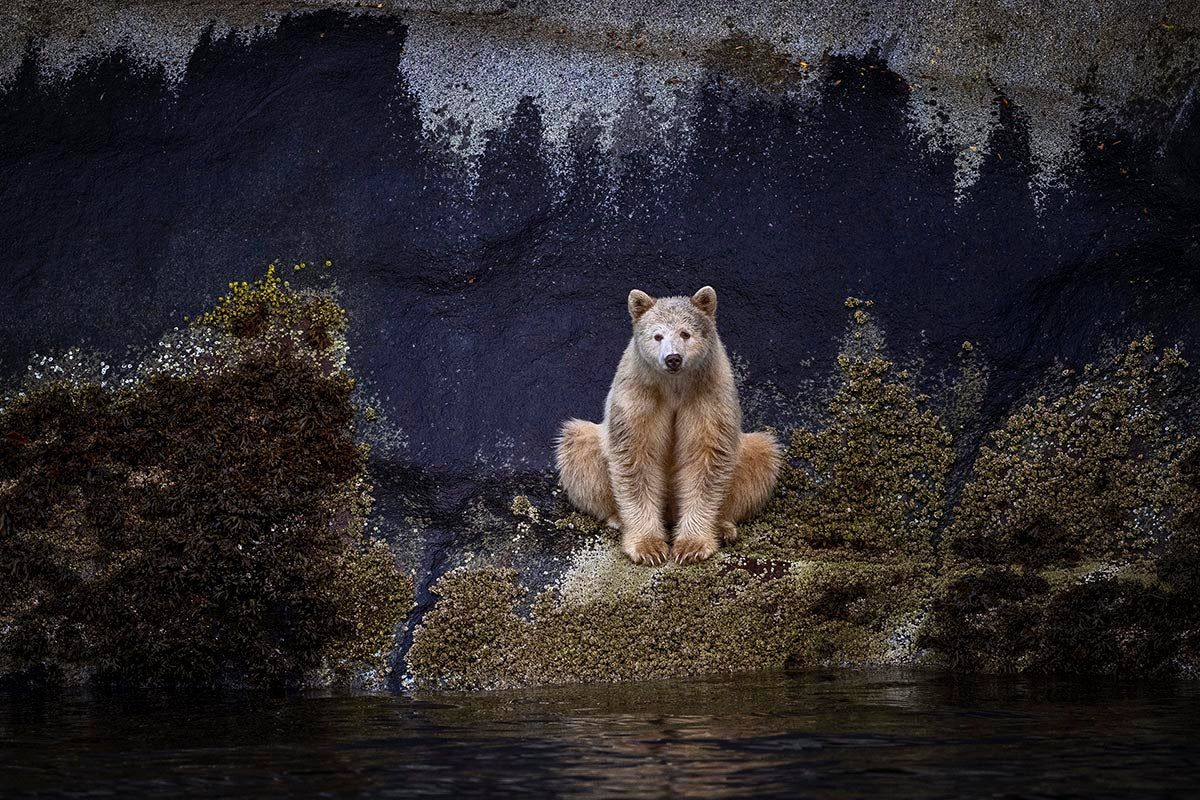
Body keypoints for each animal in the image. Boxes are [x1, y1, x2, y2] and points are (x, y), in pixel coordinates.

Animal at [556, 284, 782, 566]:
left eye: (685, 333)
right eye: (657, 336)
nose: (673, 358)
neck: (674, 385)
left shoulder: (707, 391)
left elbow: (707, 458)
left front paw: (691, 546)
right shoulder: (639, 392)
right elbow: (635, 456)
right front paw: (649, 547)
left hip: (750, 454)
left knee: (762, 454)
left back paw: (723, 526)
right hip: (589, 444)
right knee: (577, 445)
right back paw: (617, 519)